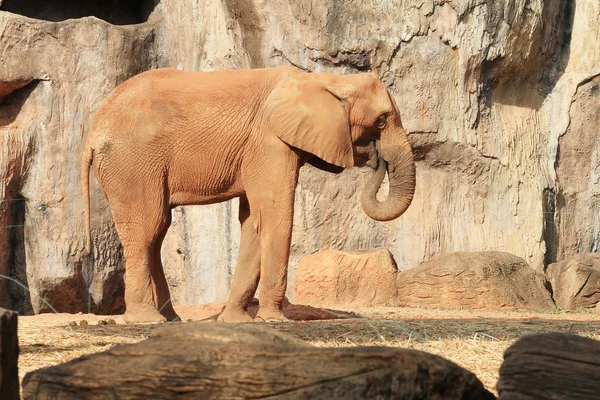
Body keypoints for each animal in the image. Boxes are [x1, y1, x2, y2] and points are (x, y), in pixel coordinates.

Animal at [82, 65, 414, 322]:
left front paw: (237, 321)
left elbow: (254, 220)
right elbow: (275, 213)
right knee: (147, 229)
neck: (325, 79)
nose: (376, 158)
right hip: (132, 163)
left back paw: (172, 319)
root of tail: (93, 131)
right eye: (382, 120)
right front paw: (274, 320)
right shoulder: (269, 141)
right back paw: (147, 320)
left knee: (157, 230)